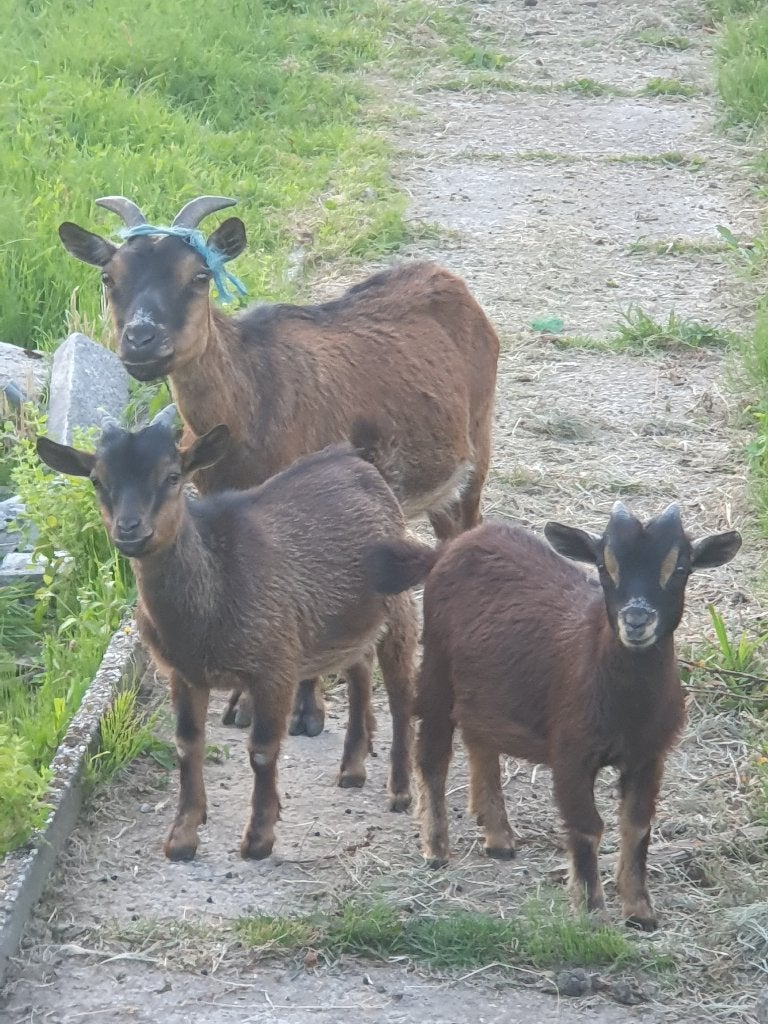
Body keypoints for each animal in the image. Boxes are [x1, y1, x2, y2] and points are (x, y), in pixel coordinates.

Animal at [36, 408, 418, 862]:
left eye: (173, 476)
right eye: (96, 479)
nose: (130, 529)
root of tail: (362, 462)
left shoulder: (274, 664)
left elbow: (262, 751)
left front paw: (258, 839)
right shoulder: (182, 673)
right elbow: (188, 744)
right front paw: (182, 837)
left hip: (398, 603)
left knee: (400, 692)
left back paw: (400, 792)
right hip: (346, 621)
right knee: (359, 669)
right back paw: (352, 769)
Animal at [58, 195, 500, 737]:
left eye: (199, 275)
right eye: (108, 277)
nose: (142, 340)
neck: (252, 396)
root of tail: (449, 279)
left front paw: (306, 712)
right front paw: (240, 705)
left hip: (479, 437)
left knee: (471, 520)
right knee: (446, 529)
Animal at [366, 504, 741, 930]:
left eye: (680, 568)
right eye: (604, 566)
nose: (636, 620)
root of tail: (444, 551)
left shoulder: (649, 756)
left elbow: (637, 825)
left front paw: (640, 912)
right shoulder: (571, 752)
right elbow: (587, 826)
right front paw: (591, 911)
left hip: (487, 687)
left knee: (480, 739)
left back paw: (498, 838)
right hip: (437, 666)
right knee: (432, 754)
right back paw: (435, 848)